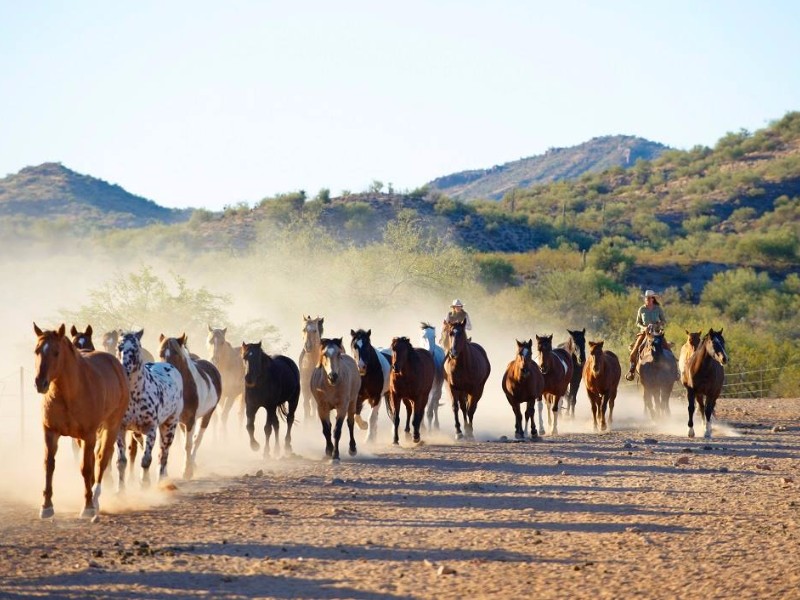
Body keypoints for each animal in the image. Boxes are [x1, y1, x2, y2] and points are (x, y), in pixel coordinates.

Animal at [32, 326, 129, 516]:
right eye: (37, 351)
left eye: (56, 352)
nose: (40, 383)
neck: (69, 393)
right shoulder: (50, 432)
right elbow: (49, 465)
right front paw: (46, 506)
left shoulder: (89, 434)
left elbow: (87, 467)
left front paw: (88, 506)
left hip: (111, 427)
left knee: (101, 458)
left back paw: (96, 497)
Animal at [115, 330, 184, 490]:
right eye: (119, 347)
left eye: (135, 349)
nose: (123, 371)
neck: (135, 395)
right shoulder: (121, 429)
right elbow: (122, 462)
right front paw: (120, 491)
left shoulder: (151, 429)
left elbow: (147, 459)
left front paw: (145, 485)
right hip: (138, 432)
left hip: (169, 426)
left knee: (163, 454)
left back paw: (162, 482)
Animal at [158, 332, 220, 478]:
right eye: (161, 353)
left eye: (175, 354)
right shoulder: (177, 420)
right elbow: (172, 444)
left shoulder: (191, 420)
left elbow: (189, 444)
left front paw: (187, 471)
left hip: (207, 415)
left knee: (197, 440)